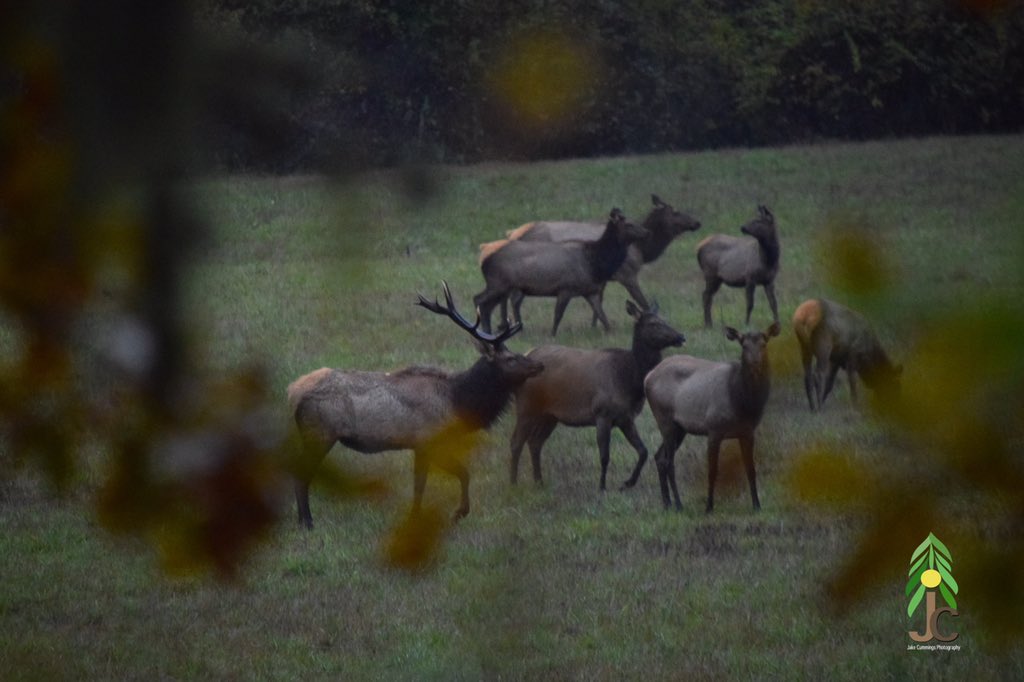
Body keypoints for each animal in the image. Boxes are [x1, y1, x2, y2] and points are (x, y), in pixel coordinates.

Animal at [287, 282, 543, 529]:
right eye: (510, 359)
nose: (538, 365)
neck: (459, 401)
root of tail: (293, 392)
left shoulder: (421, 446)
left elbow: (425, 484)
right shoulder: (428, 441)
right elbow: (453, 476)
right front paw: (456, 513)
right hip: (319, 434)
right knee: (300, 475)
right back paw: (307, 522)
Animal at [473, 208, 649, 336]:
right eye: (629, 224)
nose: (646, 232)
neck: (594, 263)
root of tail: (483, 256)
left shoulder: (590, 290)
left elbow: (602, 315)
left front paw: (610, 332)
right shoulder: (566, 288)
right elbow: (558, 315)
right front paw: (552, 334)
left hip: (503, 287)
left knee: (489, 305)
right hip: (497, 283)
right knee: (479, 300)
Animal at [479, 195, 701, 325]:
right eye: (676, 212)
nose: (697, 222)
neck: (643, 250)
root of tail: (512, 234)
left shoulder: (602, 279)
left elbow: (598, 302)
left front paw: (596, 326)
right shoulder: (626, 274)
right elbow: (642, 301)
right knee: (509, 297)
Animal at [508, 300, 685, 492]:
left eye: (664, 319)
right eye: (653, 323)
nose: (681, 336)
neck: (630, 381)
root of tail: (527, 354)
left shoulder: (626, 418)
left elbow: (643, 451)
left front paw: (627, 483)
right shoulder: (602, 413)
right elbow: (604, 456)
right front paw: (602, 487)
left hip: (549, 415)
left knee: (535, 442)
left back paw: (539, 481)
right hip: (526, 406)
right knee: (516, 442)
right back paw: (514, 482)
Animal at [644, 321, 781, 513]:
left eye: (764, 343)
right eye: (744, 345)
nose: (755, 365)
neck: (741, 401)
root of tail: (647, 377)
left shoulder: (747, 432)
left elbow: (751, 469)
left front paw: (757, 505)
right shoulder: (714, 429)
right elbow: (713, 470)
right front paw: (709, 506)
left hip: (680, 428)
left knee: (659, 457)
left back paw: (667, 503)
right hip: (665, 420)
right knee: (669, 462)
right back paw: (678, 504)